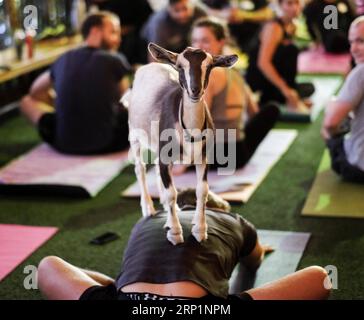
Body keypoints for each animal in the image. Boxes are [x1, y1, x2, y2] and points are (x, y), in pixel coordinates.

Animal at [129, 41, 239, 244]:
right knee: (140, 168)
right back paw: (148, 209)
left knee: (156, 170)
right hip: (134, 133)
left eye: (209, 66)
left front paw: (200, 230)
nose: (195, 90)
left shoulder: (203, 157)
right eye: (180, 66)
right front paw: (175, 233)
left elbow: (202, 191)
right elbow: (172, 193)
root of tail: (150, 66)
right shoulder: (165, 157)